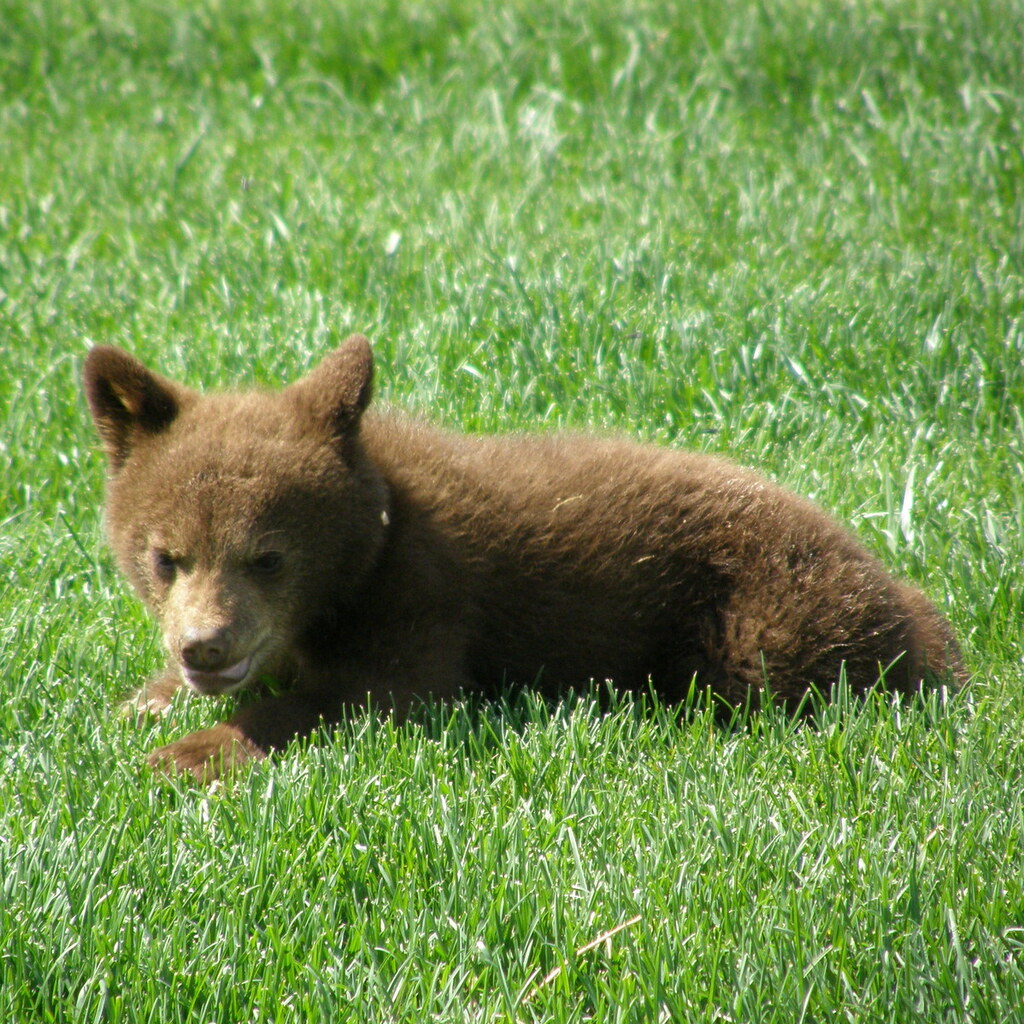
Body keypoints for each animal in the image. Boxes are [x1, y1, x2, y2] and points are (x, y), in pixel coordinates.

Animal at [84, 334, 965, 780]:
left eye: (267, 558)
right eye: (166, 558)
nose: (204, 646)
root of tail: (901, 589)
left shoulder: (424, 594)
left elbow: (372, 697)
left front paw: (186, 753)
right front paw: (142, 707)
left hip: (775, 609)